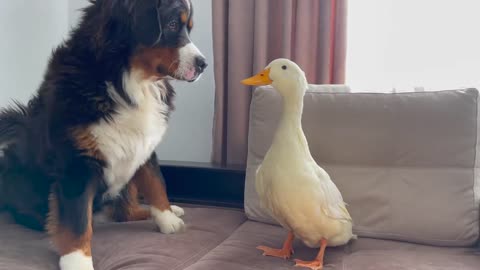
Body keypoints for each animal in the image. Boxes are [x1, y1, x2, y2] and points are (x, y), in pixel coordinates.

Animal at [0, 1, 204, 268]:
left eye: (188, 28)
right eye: (171, 24)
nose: (203, 64)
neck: (128, 82)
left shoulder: (145, 146)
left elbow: (156, 184)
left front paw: (167, 218)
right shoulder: (76, 161)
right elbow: (77, 221)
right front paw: (77, 260)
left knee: (125, 210)